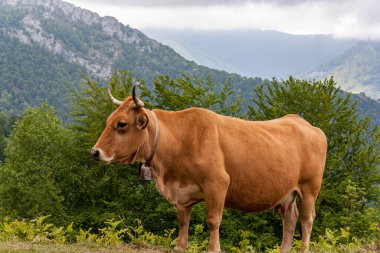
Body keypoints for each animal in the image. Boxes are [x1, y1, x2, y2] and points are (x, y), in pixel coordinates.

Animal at [91, 87, 326, 253]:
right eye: (108, 121)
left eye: (121, 124)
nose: (95, 152)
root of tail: (300, 121)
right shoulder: (182, 191)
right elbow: (183, 220)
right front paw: (180, 246)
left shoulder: (217, 183)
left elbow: (213, 220)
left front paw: (214, 248)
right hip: (288, 192)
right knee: (290, 219)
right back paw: (283, 249)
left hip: (309, 188)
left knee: (306, 220)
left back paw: (303, 249)